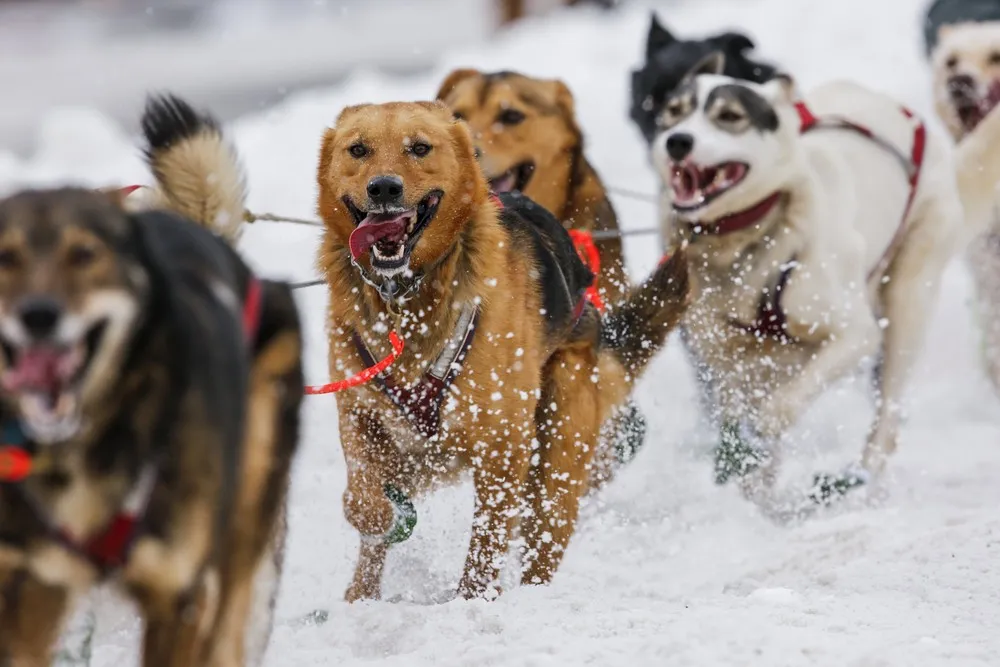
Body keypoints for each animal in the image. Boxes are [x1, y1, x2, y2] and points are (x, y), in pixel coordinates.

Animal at [316, 102, 692, 604]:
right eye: (358, 150)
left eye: (420, 148)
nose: (384, 188)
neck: (407, 298)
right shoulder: (359, 412)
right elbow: (362, 499)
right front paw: (383, 519)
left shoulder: (502, 443)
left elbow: (487, 541)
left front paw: (471, 600)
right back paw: (360, 597)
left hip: (556, 456)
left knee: (538, 541)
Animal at [652, 53, 964, 506]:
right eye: (674, 112)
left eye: (729, 116)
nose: (677, 141)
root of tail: (902, 112)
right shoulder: (723, 354)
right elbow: (733, 409)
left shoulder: (854, 334)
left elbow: (783, 406)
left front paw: (763, 433)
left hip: (908, 301)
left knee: (886, 419)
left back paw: (861, 483)